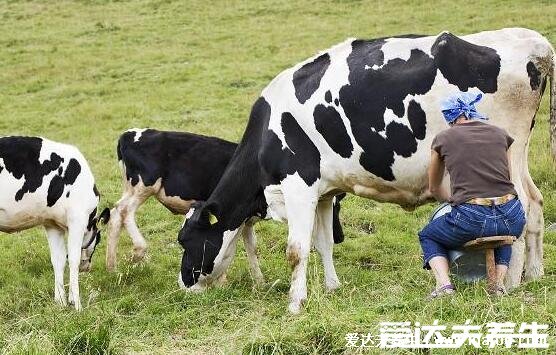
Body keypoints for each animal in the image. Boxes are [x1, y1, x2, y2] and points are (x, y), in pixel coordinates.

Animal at [0, 136, 109, 312]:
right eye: (98, 241)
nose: (87, 267)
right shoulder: (77, 219)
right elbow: (73, 259)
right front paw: (77, 305)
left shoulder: (52, 224)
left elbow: (58, 260)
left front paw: (61, 302)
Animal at [106, 129, 346, 284]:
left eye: (339, 205)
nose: (340, 236)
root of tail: (130, 134)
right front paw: (222, 281)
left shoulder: (244, 219)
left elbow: (250, 247)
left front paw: (259, 282)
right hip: (143, 185)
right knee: (122, 211)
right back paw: (136, 251)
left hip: (132, 187)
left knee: (115, 214)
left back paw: (112, 267)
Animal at [180, 28, 552, 314]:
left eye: (186, 240)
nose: (183, 285)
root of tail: (533, 43)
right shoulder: (325, 192)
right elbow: (324, 243)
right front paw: (332, 287)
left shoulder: (299, 185)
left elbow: (296, 250)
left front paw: (295, 304)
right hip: (520, 153)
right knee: (536, 202)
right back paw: (534, 274)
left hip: (505, 157)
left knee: (521, 209)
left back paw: (511, 282)